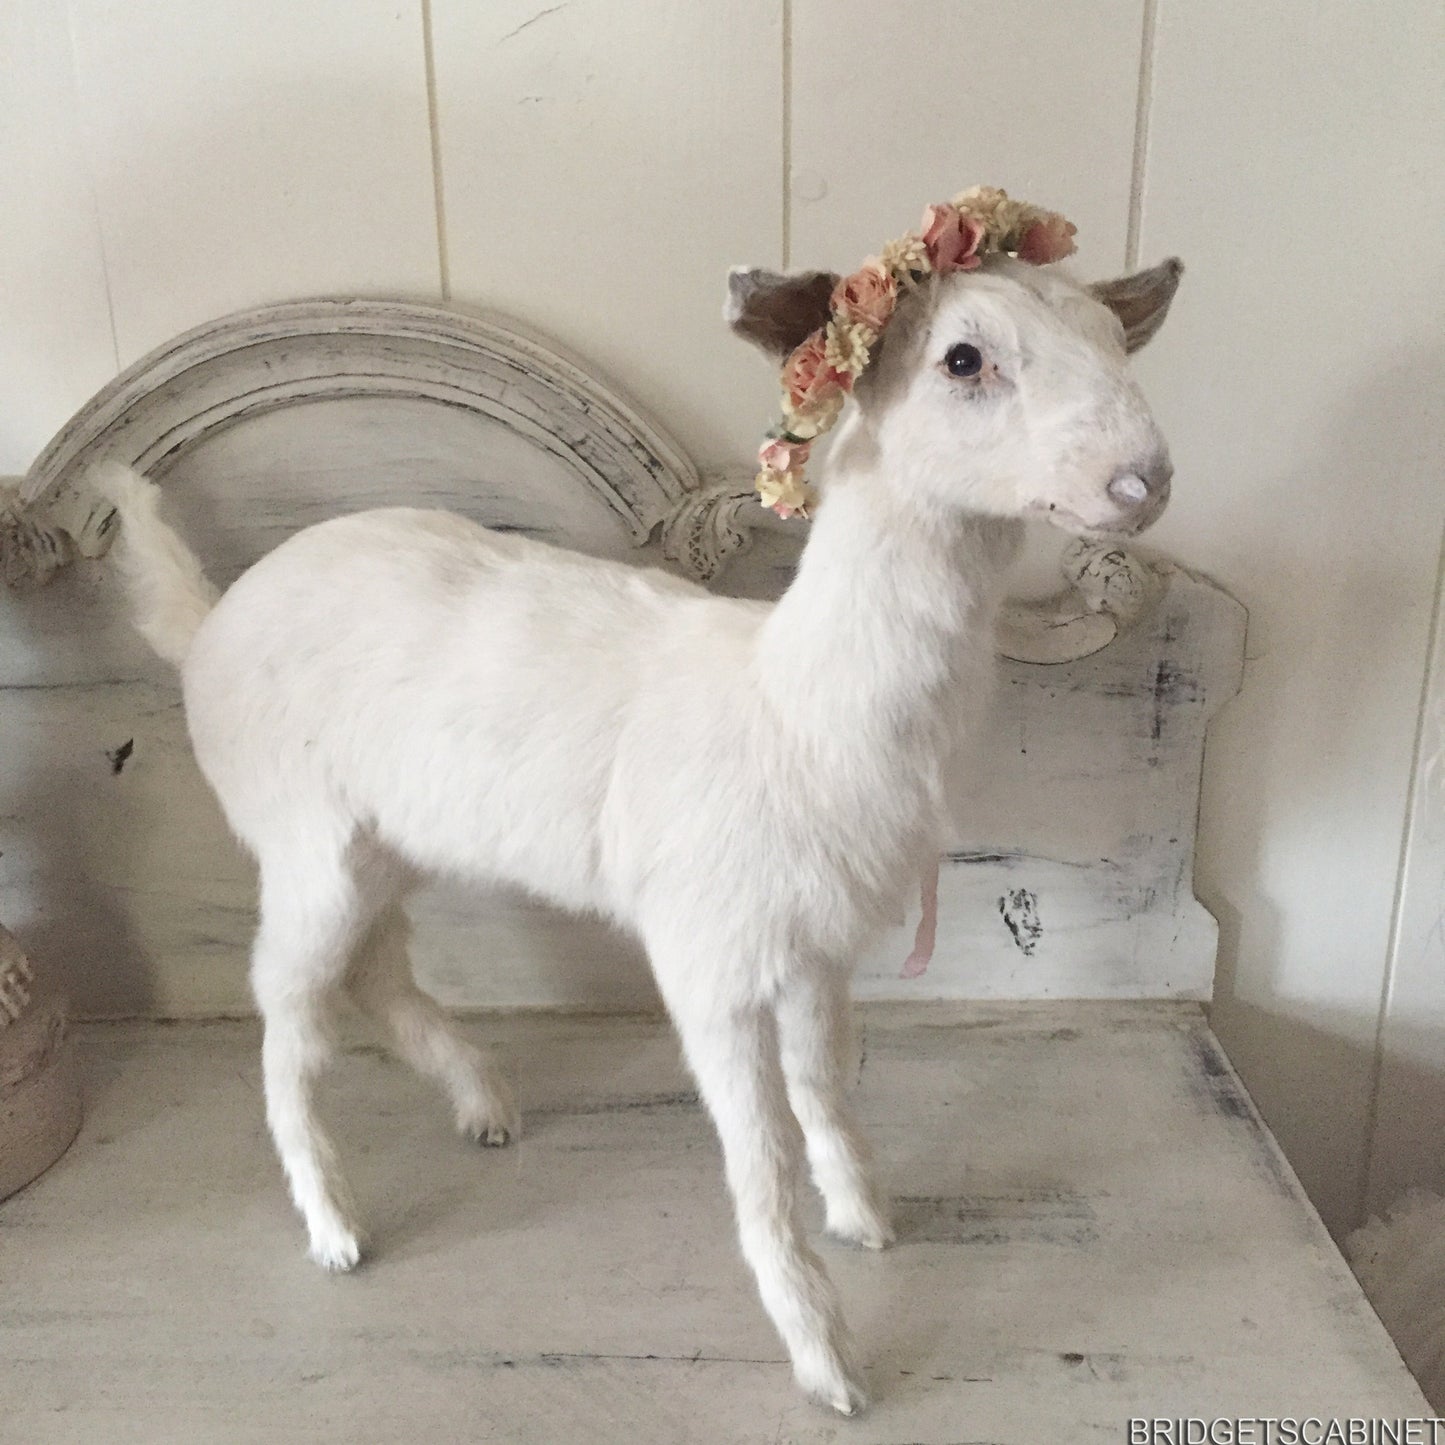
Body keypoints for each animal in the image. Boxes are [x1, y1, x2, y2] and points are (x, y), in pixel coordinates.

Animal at [98, 250, 1181, 1413]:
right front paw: (827, 1363)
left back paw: (483, 1105)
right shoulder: (707, 955)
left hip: (383, 842)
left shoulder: (814, 948)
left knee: (375, 970)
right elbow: (760, 1154)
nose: (1143, 480)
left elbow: (822, 1092)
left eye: (1110, 336)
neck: (792, 701)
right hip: (301, 836)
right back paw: (336, 1226)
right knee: (288, 1014)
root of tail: (206, 620)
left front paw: (865, 1219)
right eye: (963, 357)